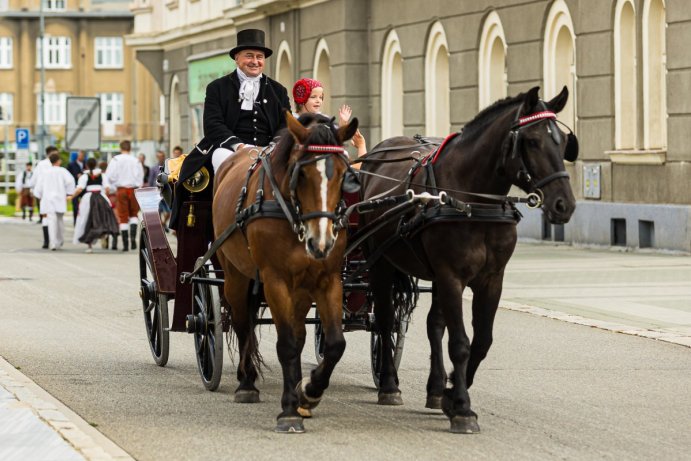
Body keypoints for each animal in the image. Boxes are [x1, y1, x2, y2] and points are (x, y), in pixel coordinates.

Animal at [214, 110, 360, 432]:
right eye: (300, 173)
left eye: (342, 174)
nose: (321, 242)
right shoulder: (275, 280)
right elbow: (287, 344)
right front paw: (290, 410)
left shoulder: (327, 280)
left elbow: (334, 344)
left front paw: (308, 392)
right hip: (235, 275)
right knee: (242, 323)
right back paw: (246, 383)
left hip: (301, 289)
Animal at [360, 87, 576, 434]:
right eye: (531, 141)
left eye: (563, 141)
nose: (563, 204)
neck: (473, 202)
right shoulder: (451, 276)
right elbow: (460, 343)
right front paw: (462, 407)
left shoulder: (491, 279)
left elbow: (482, 341)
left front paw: (449, 394)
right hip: (381, 263)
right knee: (384, 320)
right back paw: (389, 384)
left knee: (433, 325)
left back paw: (435, 389)